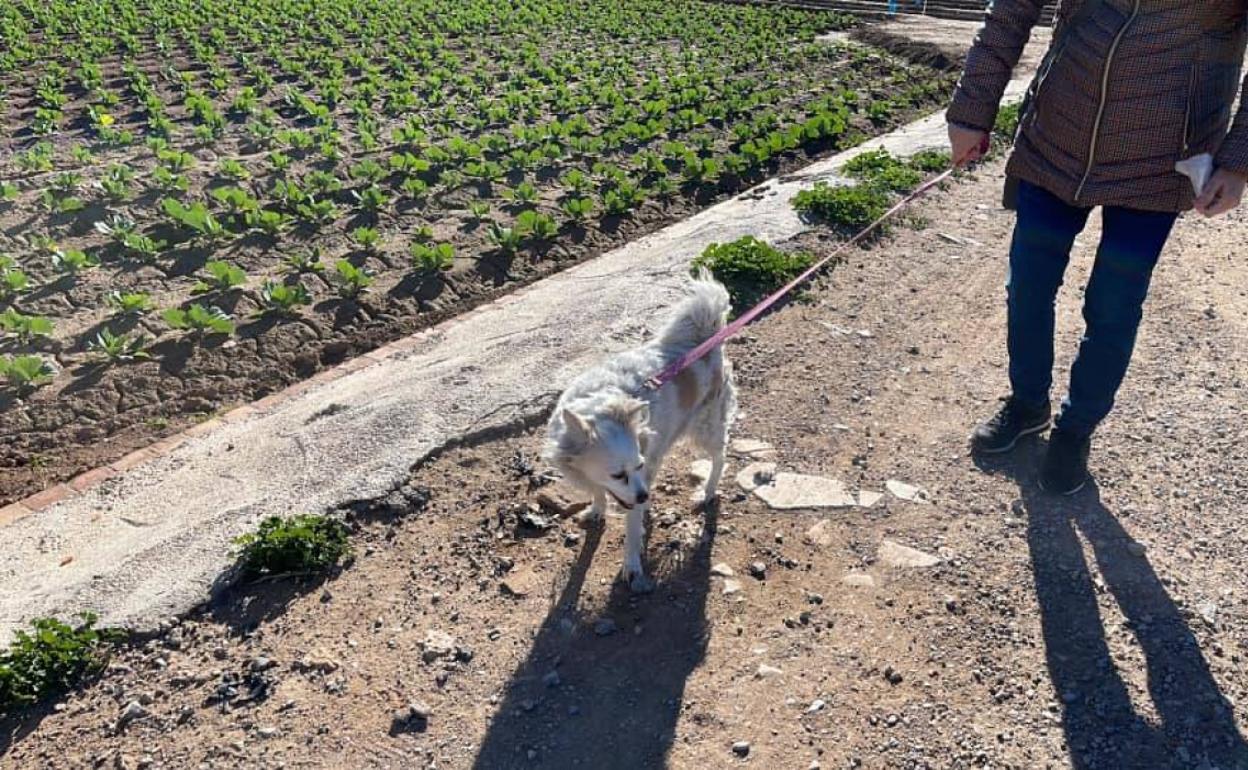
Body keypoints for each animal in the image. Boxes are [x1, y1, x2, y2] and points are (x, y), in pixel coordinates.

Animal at [541, 267, 733, 591]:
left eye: (637, 466)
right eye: (618, 474)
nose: (644, 497)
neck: (605, 402)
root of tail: (705, 337)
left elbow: (631, 531)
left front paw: (632, 565)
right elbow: (599, 492)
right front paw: (597, 509)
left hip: (707, 427)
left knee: (720, 457)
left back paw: (707, 491)